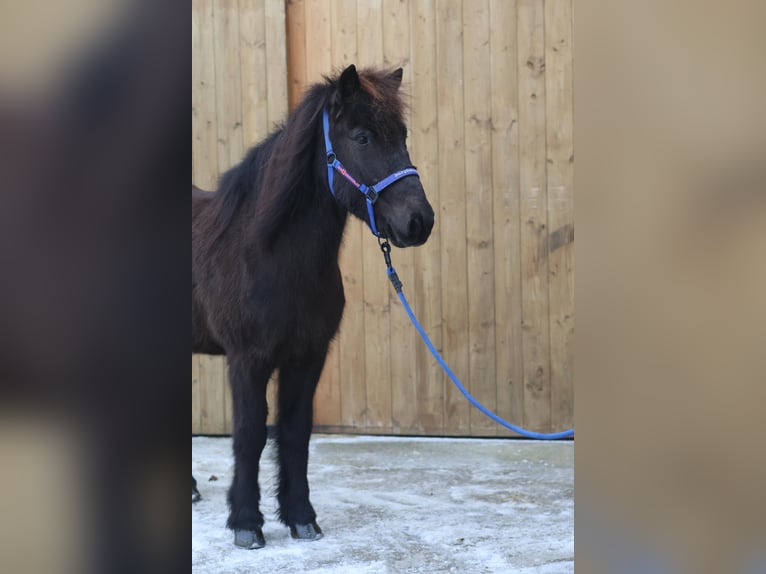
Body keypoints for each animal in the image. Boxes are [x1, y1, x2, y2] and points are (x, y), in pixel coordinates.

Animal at [192, 64, 436, 548]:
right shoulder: (247, 360)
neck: (269, 256)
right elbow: (249, 435)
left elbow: (295, 432)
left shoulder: (307, 357)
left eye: (402, 135)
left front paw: (301, 516)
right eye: (362, 137)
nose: (419, 222)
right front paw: (246, 522)